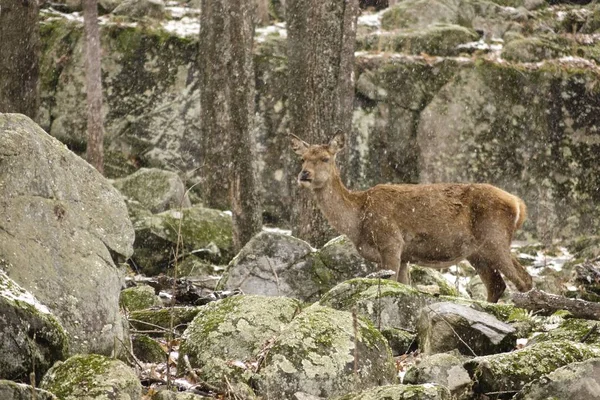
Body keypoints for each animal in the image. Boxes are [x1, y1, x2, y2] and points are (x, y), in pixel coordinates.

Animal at [290, 131, 536, 304]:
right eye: (302, 159)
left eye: (325, 158)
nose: (304, 174)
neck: (358, 220)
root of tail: (518, 204)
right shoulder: (405, 256)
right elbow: (405, 286)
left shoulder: (390, 241)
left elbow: (390, 283)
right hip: (477, 252)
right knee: (497, 284)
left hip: (495, 237)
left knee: (523, 279)